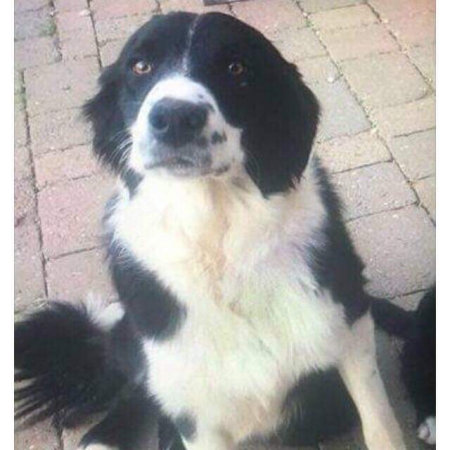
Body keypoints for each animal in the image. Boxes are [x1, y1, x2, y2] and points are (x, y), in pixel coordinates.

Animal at [15, 12, 407, 450]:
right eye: (141, 66)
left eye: (237, 68)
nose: (174, 118)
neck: (220, 240)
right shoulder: (196, 412)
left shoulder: (350, 329)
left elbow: (380, 424)